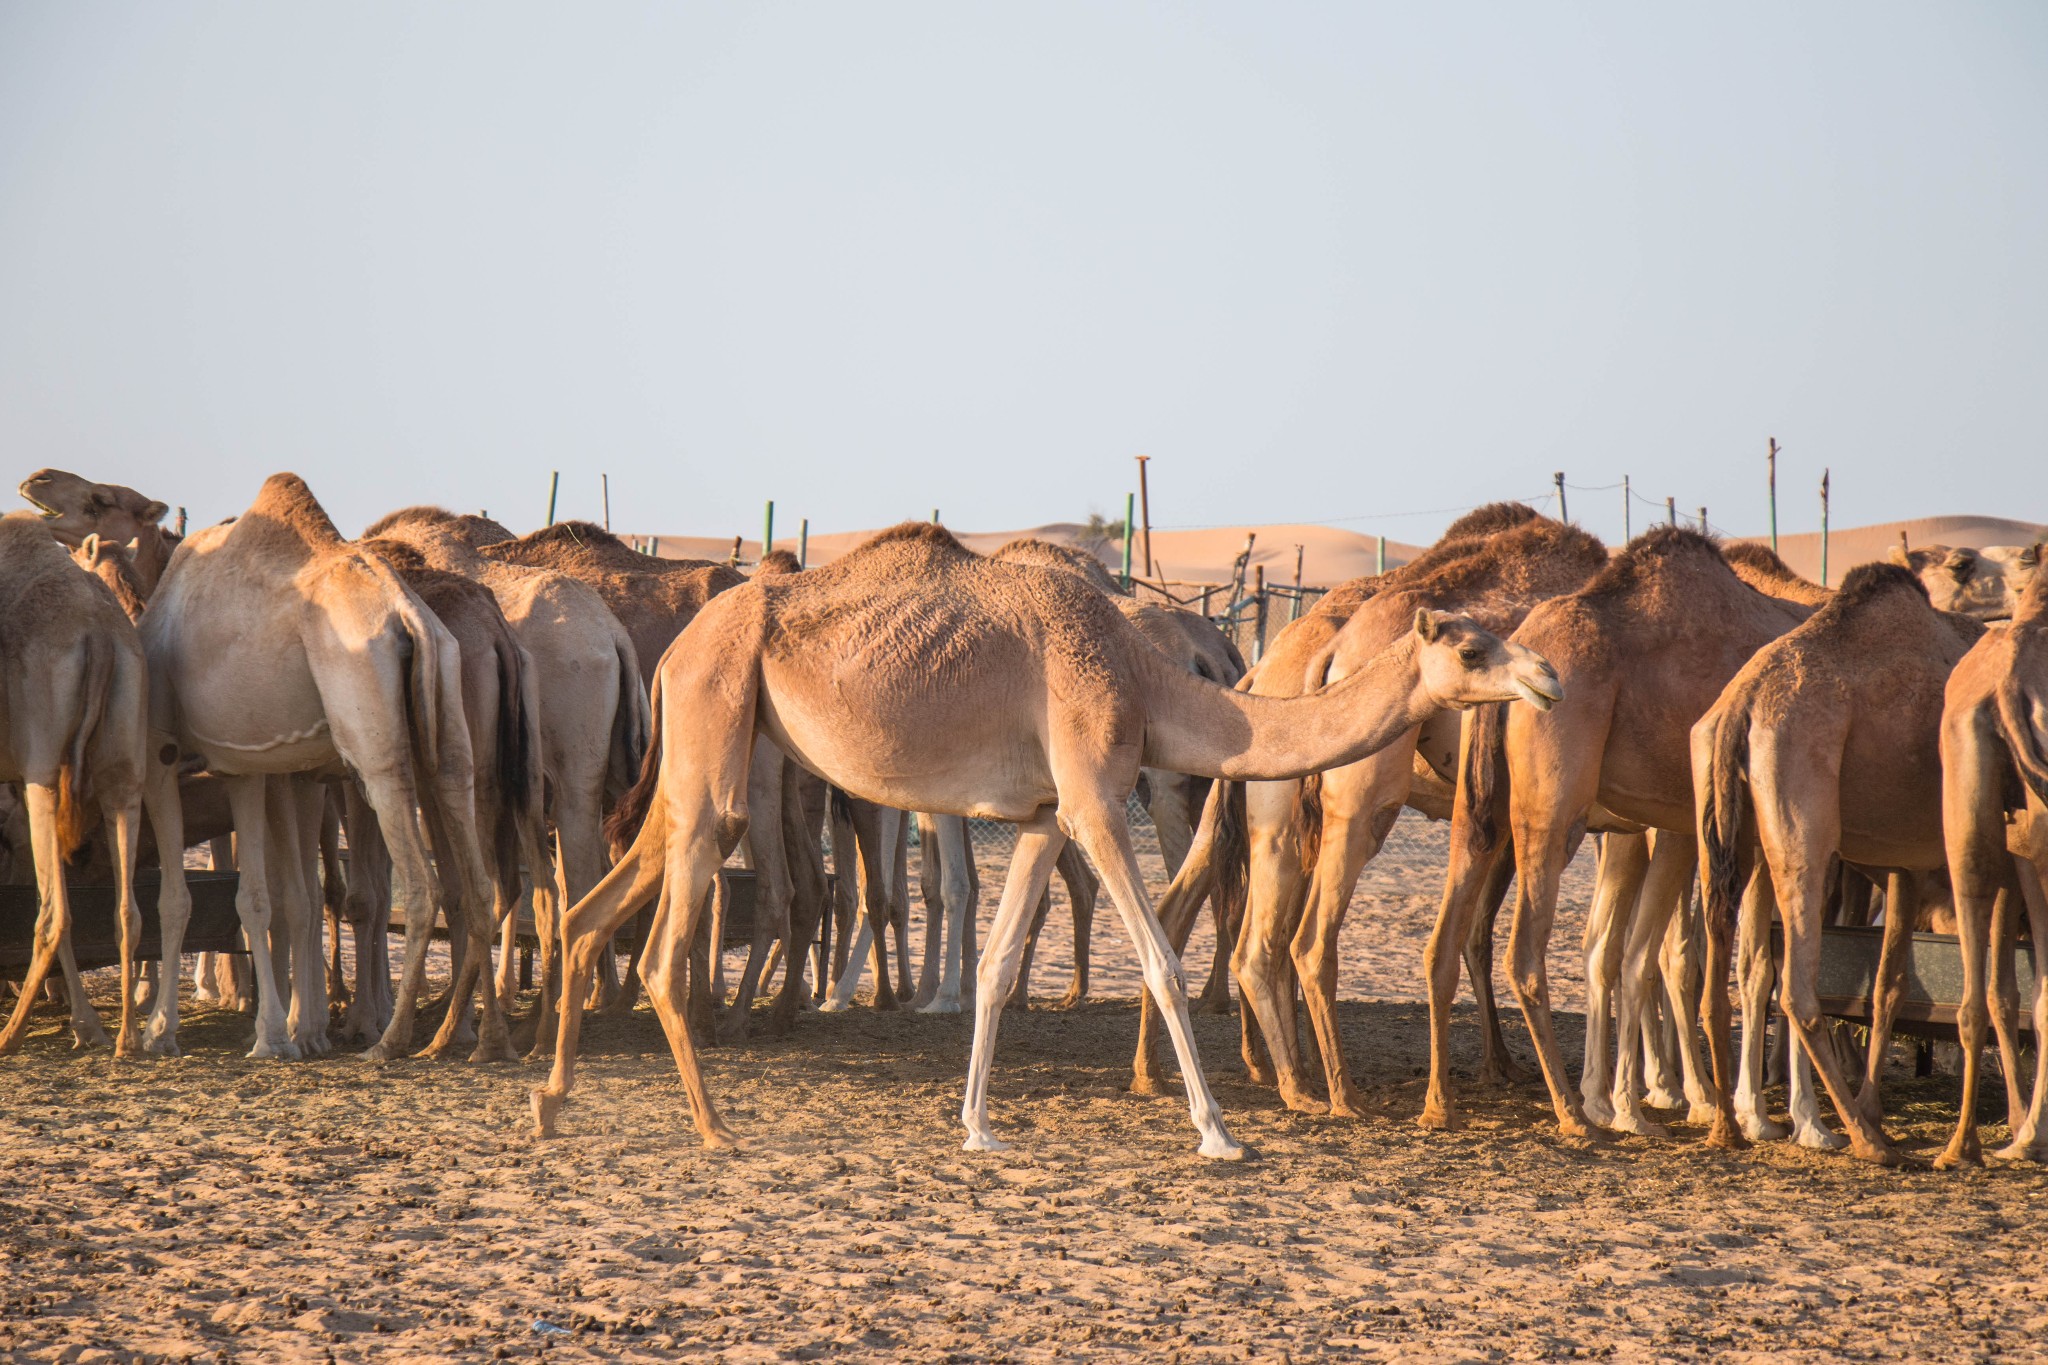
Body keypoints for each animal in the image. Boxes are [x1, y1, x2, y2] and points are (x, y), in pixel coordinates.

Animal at [140, 480, 512, 1064]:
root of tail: (409, 616)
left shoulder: (162, 752)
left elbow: (173, 898)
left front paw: (160, 1031)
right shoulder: (245, 761)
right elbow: (262, 896)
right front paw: (276, 1036)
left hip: (371, 737)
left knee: (420, 884)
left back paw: (389, 1040)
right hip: (448, 724)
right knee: (474, 877)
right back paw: (481, 1039)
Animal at [528, 517, 1548, 1162]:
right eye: (1472, 649)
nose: (1545, 677)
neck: (1141, 673)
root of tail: (670, 650)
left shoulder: (1043, 817)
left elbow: (997, 963)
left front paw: (979, 1125)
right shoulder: (1094, 794)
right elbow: (1159, 959)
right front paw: (1219, 1131)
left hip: (697, 748)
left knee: (590, 908)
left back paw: (552, 1100)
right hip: (719, 725)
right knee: (660, 942)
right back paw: (711, 1126)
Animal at [1425, 527, 1810, 1146]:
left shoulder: (1674, 826)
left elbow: (1636, 953)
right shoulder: (1747, 830)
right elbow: (1749, 965)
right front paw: (1756, 1114)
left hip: (1479, 811)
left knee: (1444, 939)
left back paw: (1442, 1106)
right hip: (1556, 813)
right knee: (1525, 954)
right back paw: (1571, 1112)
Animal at [1687, 564, 1974, 1162]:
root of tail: (1741, 705)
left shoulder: (1904, 863)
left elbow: (1890, 984)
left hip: (1722, 821)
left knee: (1722, 976)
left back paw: (1730, 1126)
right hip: (1804, 806)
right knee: (1796, 987)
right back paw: (1863, 1141)